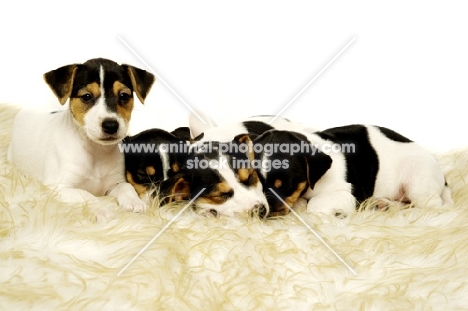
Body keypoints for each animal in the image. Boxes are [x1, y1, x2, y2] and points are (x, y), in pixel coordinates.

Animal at [6, 56, 155, 222]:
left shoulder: (114, 182)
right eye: (87, 96)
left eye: (123, 96)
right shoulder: (59, 188)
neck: (96, 151)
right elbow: (86, 195)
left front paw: (135, 201)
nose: (111, 125)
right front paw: (102, 209)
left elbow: (126, 186)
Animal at [252, 125, 454, 218]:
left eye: (285, 184)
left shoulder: (350, 193)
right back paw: (383, 205)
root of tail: (442, 178)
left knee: (433, 207)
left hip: (418, 184)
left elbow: (315, 204)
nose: (261, 213)